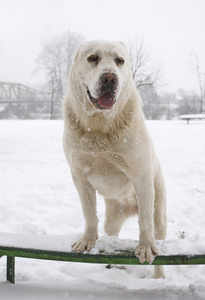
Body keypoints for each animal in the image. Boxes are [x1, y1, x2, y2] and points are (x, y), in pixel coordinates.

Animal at [62, 39, 167, 278]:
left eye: (120, 61)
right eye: (93, 58)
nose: (110, 78)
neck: (99, 126)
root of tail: (129, 207)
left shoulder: (141, 176)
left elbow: (144, 219)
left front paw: (145, 247)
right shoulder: (79, 176)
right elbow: (89, 213)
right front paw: (88, 241)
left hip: (159, 212)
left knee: (156, 231)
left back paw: (159, 278)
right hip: (113, 217)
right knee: (112, 232)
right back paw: (114, 262)